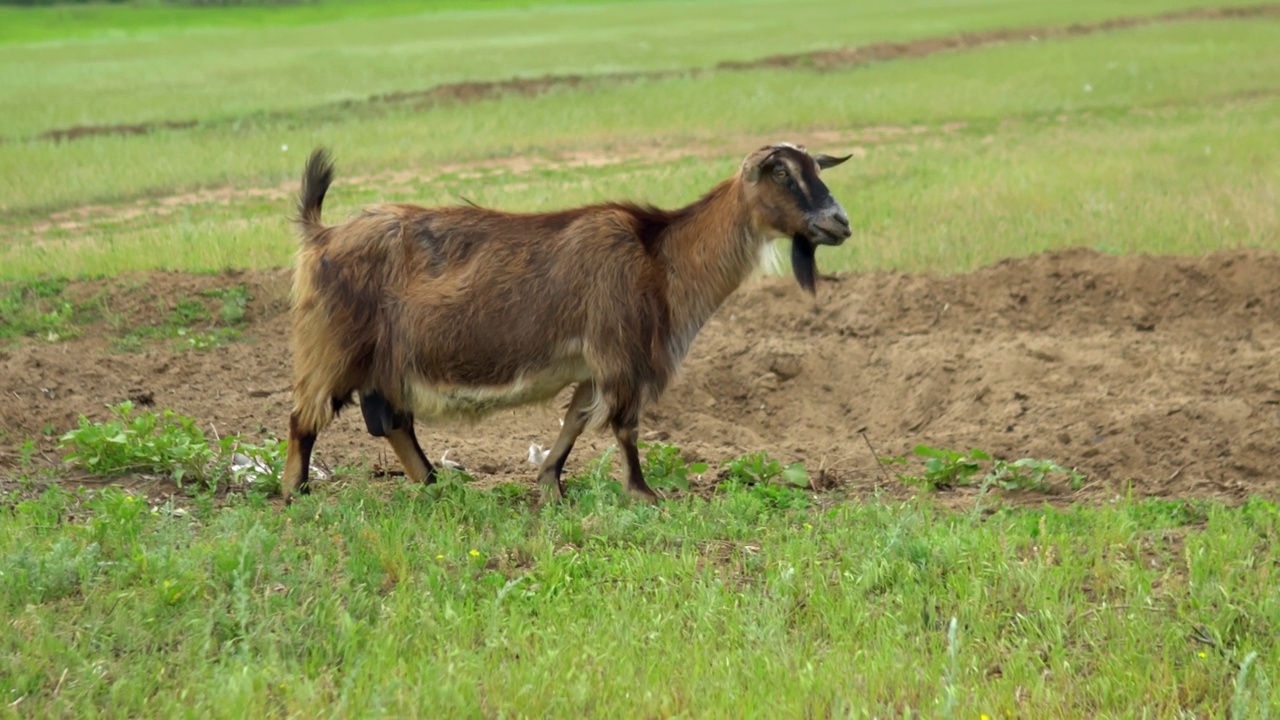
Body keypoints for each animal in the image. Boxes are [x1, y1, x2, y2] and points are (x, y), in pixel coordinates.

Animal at [285, 142, 855, 502]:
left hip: (380, 361)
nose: (840, 222)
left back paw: (430, 483)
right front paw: (643, 492)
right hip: (333, 346)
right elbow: (624, 425)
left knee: (391, 422)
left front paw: (550, 483)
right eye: (782, 173)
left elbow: (576, 419)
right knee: (305, 417)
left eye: (818, 169)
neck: (660, 256)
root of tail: (320, 235)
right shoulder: (621, 352)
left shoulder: (593, 363)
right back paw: (295, 490)